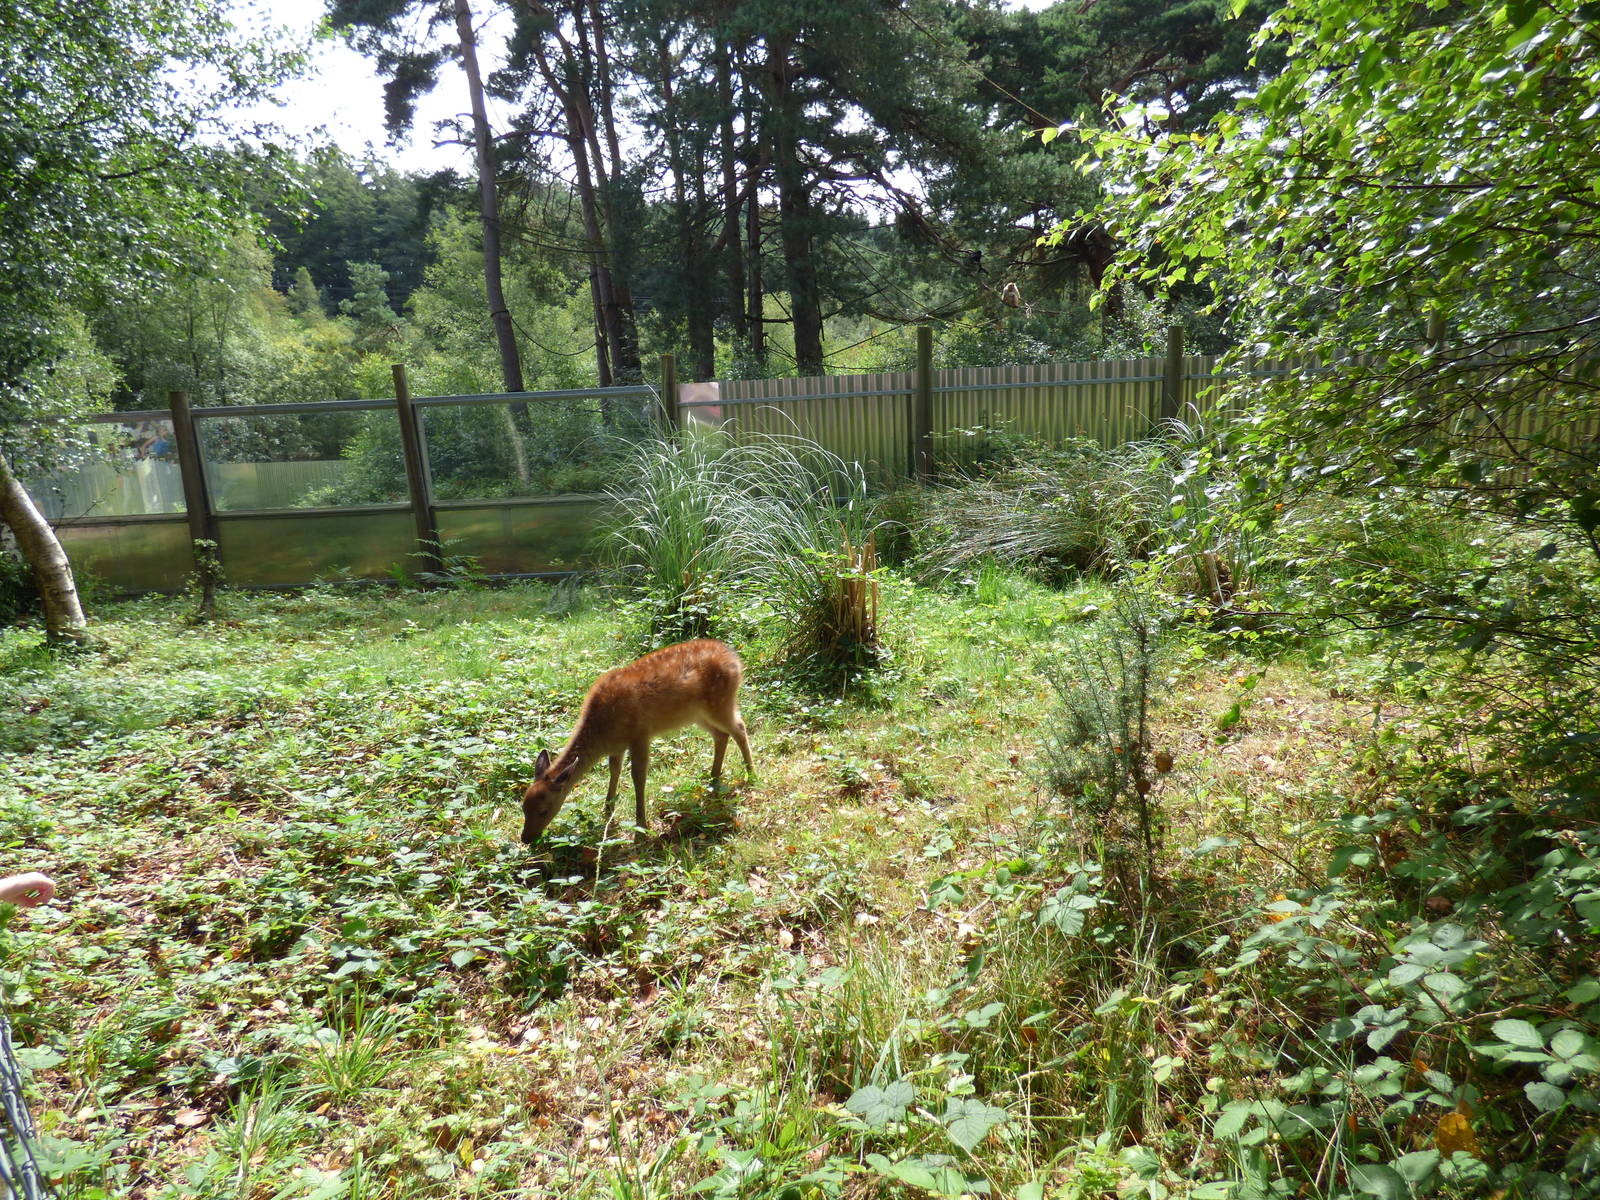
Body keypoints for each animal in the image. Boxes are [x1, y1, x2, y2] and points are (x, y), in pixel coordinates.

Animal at [520, 639, 755, 843]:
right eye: (523, 807)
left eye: (543, 811)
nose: (526, 839)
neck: (602, 733)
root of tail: (735, 659)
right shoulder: (617, 747)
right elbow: (614, 770)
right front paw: (608, 810)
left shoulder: (640, 735)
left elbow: (638, 777)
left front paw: (640, 826)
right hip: (698, 714)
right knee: (721, 735)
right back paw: (714, 777)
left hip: (720, 702)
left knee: (739, 727)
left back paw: (750, 774)